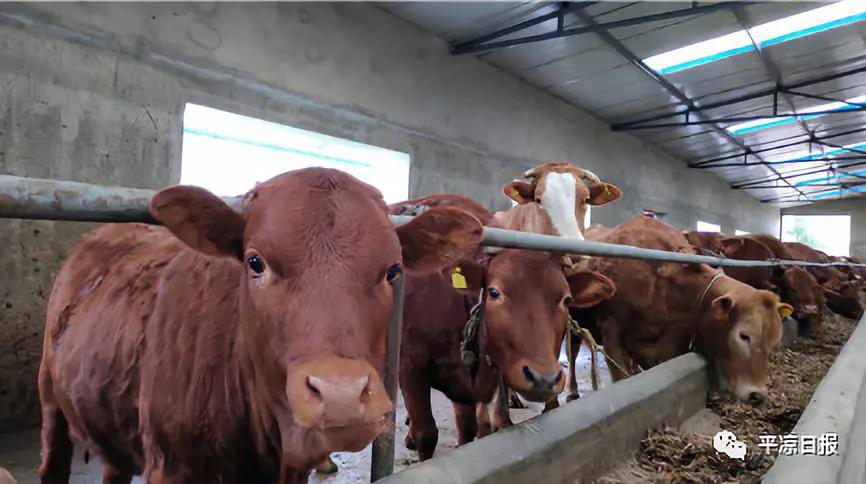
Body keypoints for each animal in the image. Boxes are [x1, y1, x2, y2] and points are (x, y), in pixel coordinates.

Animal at [392, 196, 616, 458]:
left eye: (567, 300)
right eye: (493, 292)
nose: (544, 378)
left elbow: (467, 430)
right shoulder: (410, 368)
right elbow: (427, 435)